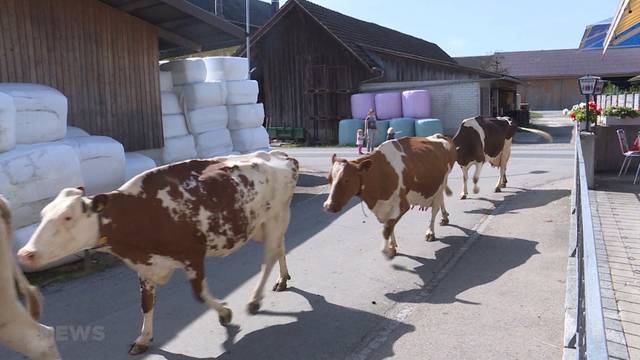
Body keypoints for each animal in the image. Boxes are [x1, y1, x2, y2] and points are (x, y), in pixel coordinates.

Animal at [15, 150, 300, 356]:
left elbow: (200, 294)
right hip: (262, 224)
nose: (26, 253)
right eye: (43, 214)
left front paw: (224, 313)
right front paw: (143, 339)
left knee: (269, 256)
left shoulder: (193, 254)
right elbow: (146, 303)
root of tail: (280, 154)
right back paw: (282, 279)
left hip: (275, 217)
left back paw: (255, 299)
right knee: (280, 247)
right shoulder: (146, 266)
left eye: (67, 217)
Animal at [324, 136, 456, 258]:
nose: (328, 206)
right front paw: (392, 247)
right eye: (329, 179)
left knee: (435, 209)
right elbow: (389, 225)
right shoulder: (384, 206)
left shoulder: (402, 205)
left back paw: (430, 232)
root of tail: (441, 136)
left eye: (346, 180)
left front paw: (387, 249)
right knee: (441, 202)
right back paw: (444, 218)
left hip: (441, 184)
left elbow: (388, 226)